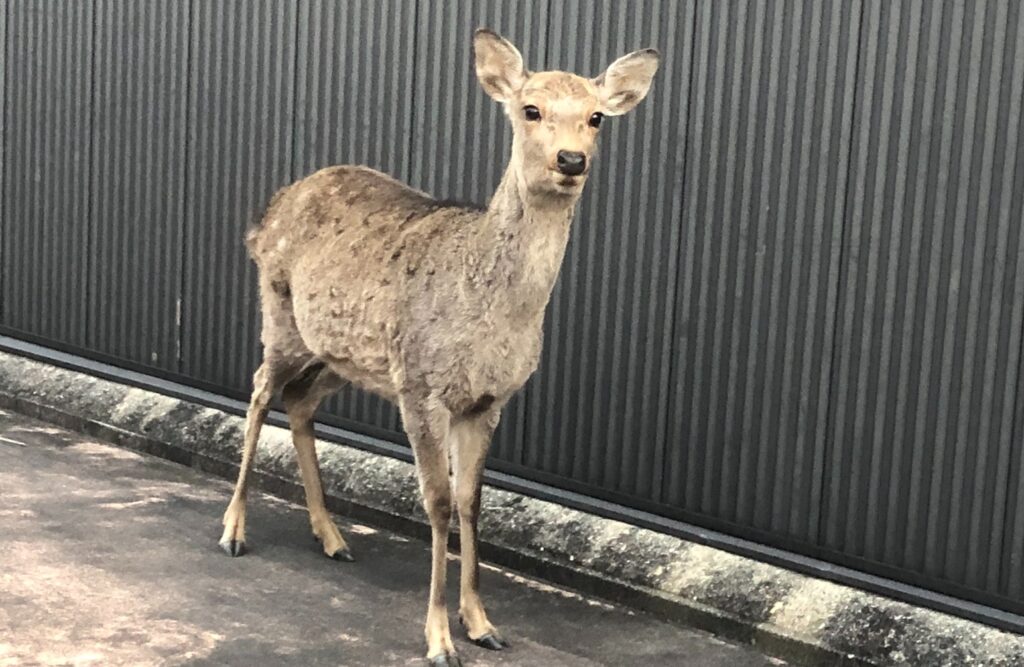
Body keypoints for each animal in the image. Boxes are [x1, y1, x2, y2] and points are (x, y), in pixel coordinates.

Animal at [218, 28, 659, 666]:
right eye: (530, 109)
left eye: (597, 116)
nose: (571, 160)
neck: (491, 313)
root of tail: (268, 210)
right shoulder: (423, 386)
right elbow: (438, 502)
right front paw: (439, 639)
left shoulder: (488, 399)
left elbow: (473, 501)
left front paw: (482, 623)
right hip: (280, 315)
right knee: (257, 392)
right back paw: (233, 530)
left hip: (343, 354)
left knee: (299, 403)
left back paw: (332, 537)